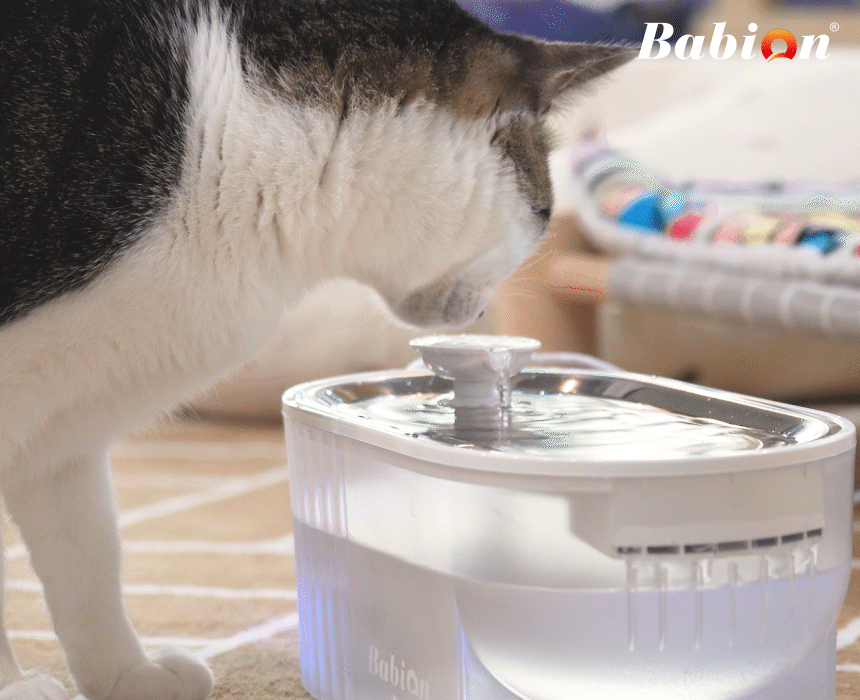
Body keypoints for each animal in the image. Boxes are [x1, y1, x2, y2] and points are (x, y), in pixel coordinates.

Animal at [0, 1, 630, 697]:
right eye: (545, 211)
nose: (481, 317)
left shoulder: (61, 434)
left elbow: (87, 563)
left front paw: (130, 676)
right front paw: (15, 684)